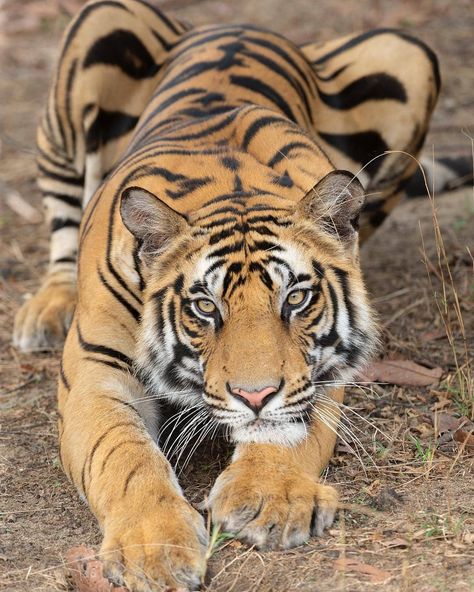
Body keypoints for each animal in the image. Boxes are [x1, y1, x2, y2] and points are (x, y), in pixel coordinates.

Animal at [10, 2, 444, 588]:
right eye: (204, 307)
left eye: (295, 300)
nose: (253, 396)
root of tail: (238, 25)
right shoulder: (96, 370)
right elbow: (122, 454)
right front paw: (154, 548)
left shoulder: (320, 366)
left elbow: (289, 425)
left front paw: (269, 498)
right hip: (97, 32)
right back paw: (48, 308)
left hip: (408, 55)